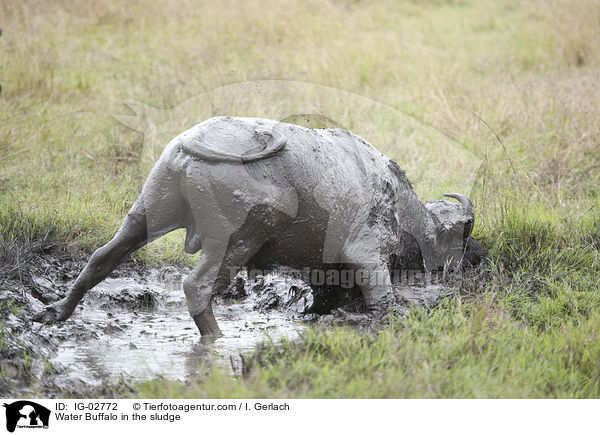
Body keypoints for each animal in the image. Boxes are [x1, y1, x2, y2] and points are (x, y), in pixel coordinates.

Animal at [34, 116, 482, 338]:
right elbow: (383, 301)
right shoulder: (369, 255)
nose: (471, 261)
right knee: (197, 287)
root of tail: (192, 140)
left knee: (102, 257)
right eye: (461, 238)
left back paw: (56, 312)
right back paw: (217, 340)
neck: (400, 202)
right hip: (240, 238)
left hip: (146, 212)